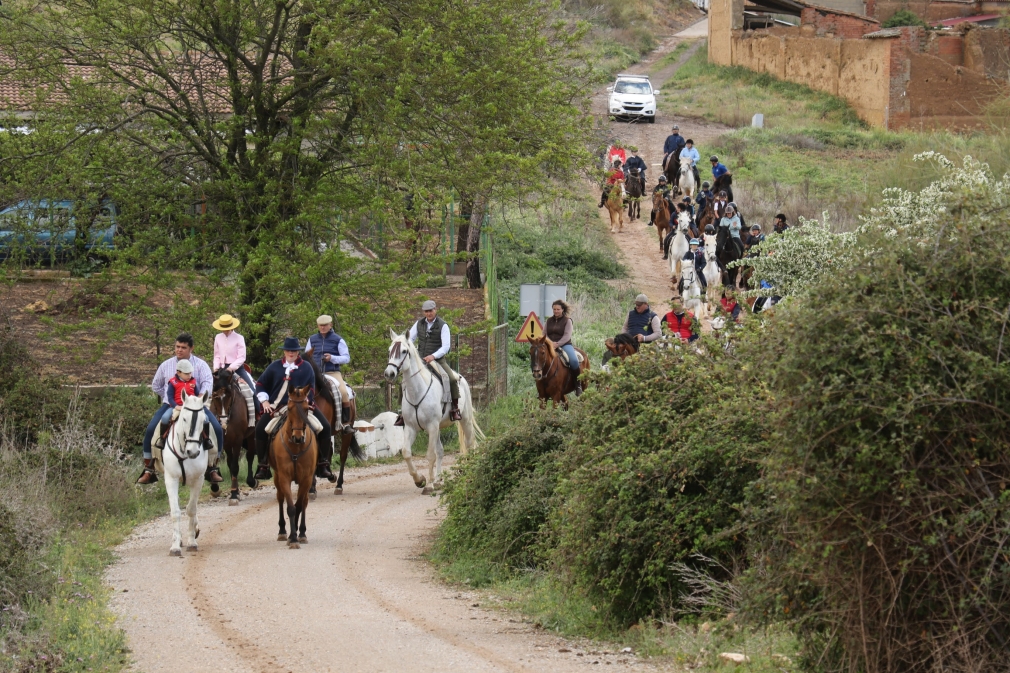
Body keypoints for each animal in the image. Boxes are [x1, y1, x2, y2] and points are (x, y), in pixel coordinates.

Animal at [160, 388, 214, 553]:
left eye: (203, 421)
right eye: (184, 419)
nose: (193, 452)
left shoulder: (198, 479)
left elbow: (191, 509)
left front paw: (191, 542)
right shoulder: (171, 479)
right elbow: (175, 511)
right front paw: (175, 545)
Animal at [211, 367, 258, 503]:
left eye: (229, 395)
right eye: (215, 396)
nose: (223, 421)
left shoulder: (238, 439)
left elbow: (235, 466)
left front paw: (233, 494)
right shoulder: (226, 441)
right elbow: (230, 464)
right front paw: (235, 491)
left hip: (251, 436)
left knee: (250, 456)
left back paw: (252, 481)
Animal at [272, 381, 315, 545]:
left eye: (306, 408)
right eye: (290, 408)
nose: (298, 437)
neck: (296, 448)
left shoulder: (306, 479)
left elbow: (299, 505)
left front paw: (298, 533)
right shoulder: (284, 477)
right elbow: (290, 507)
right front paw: (292, 537)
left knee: (304, 502)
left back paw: (300, 531)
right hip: (277, 478)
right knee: (280, 498)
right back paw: (283, 531)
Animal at [381, 329, 484, 493]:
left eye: (404, 351)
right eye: (389, 350)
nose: (389, 373)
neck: (417, 391)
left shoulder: (431, 426)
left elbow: (430, 455)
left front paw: (428, 485)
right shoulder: (411, 428)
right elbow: (406, 453)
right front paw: (420, 480)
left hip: (465, 421)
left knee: (470, 444)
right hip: (438, 428)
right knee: (441, 451)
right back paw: (439, 480)